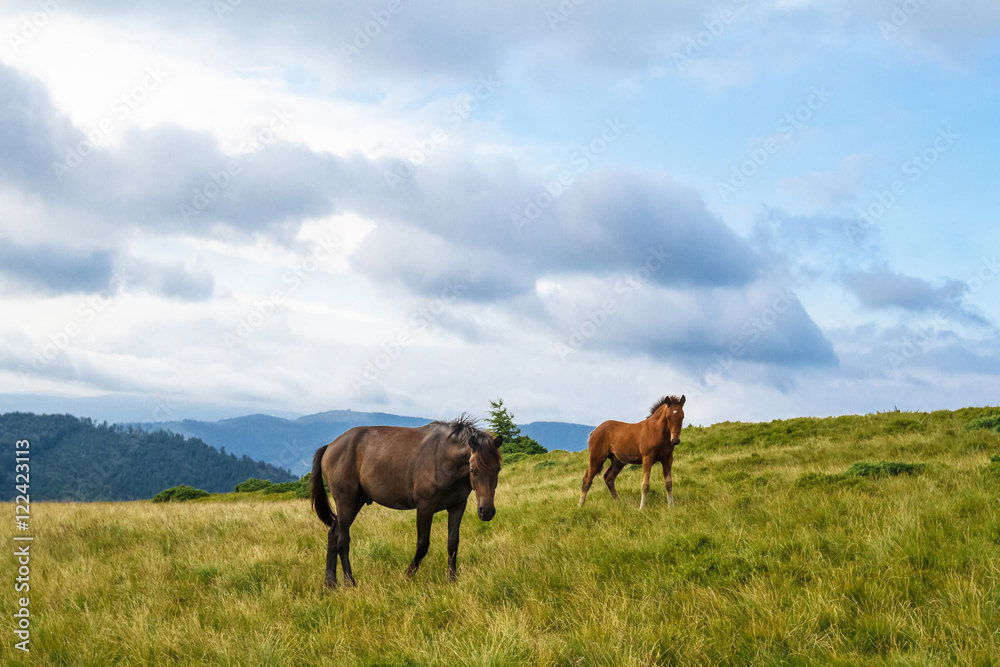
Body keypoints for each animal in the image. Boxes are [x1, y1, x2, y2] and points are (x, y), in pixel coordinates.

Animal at [308, 420, 500, 588]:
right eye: (473, 469)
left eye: (498, 468)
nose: (487, 511)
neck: (443, 458)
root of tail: (329, 446)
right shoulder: (425, 508)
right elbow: (422, 545)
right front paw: (407, 575)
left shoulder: (457, 506)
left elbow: (453, 543)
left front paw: (451, 579)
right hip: (345, 500)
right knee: (342, 540)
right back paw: (349, 582)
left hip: (356, 502)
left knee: (333, 534)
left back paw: (330, 582)